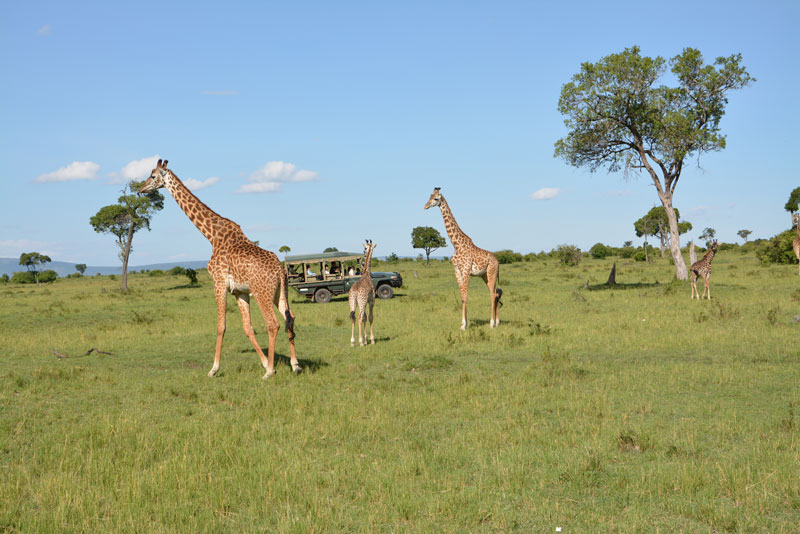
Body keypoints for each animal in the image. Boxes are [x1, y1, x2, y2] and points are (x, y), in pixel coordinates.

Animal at [138, 159, 300, 382]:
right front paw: (265, 361)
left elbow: (221, 326)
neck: (212, 235)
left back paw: (269, 373)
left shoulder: (218, 282)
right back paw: (295, 365)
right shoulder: (239, 291)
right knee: (289, 318)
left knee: (273, 323)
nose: (141, 189)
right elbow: (247, 328)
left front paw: (214, 369)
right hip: (279, 293)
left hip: (262, 293)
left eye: (153, 176)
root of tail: (280, 270)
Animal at [424, 188, 500, 330]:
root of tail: (498, 262)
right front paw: (463, 323)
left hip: (491, 273)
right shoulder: (457, 270)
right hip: (484, 275)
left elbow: (465, 295)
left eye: (435, 198)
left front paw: (464, 325)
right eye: (429, 196)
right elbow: (462, 297)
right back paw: (497, 322)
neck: (457, 245)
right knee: (495, 293)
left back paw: (492, 323)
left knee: (493, 294)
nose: (425, 206)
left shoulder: (465, 270)